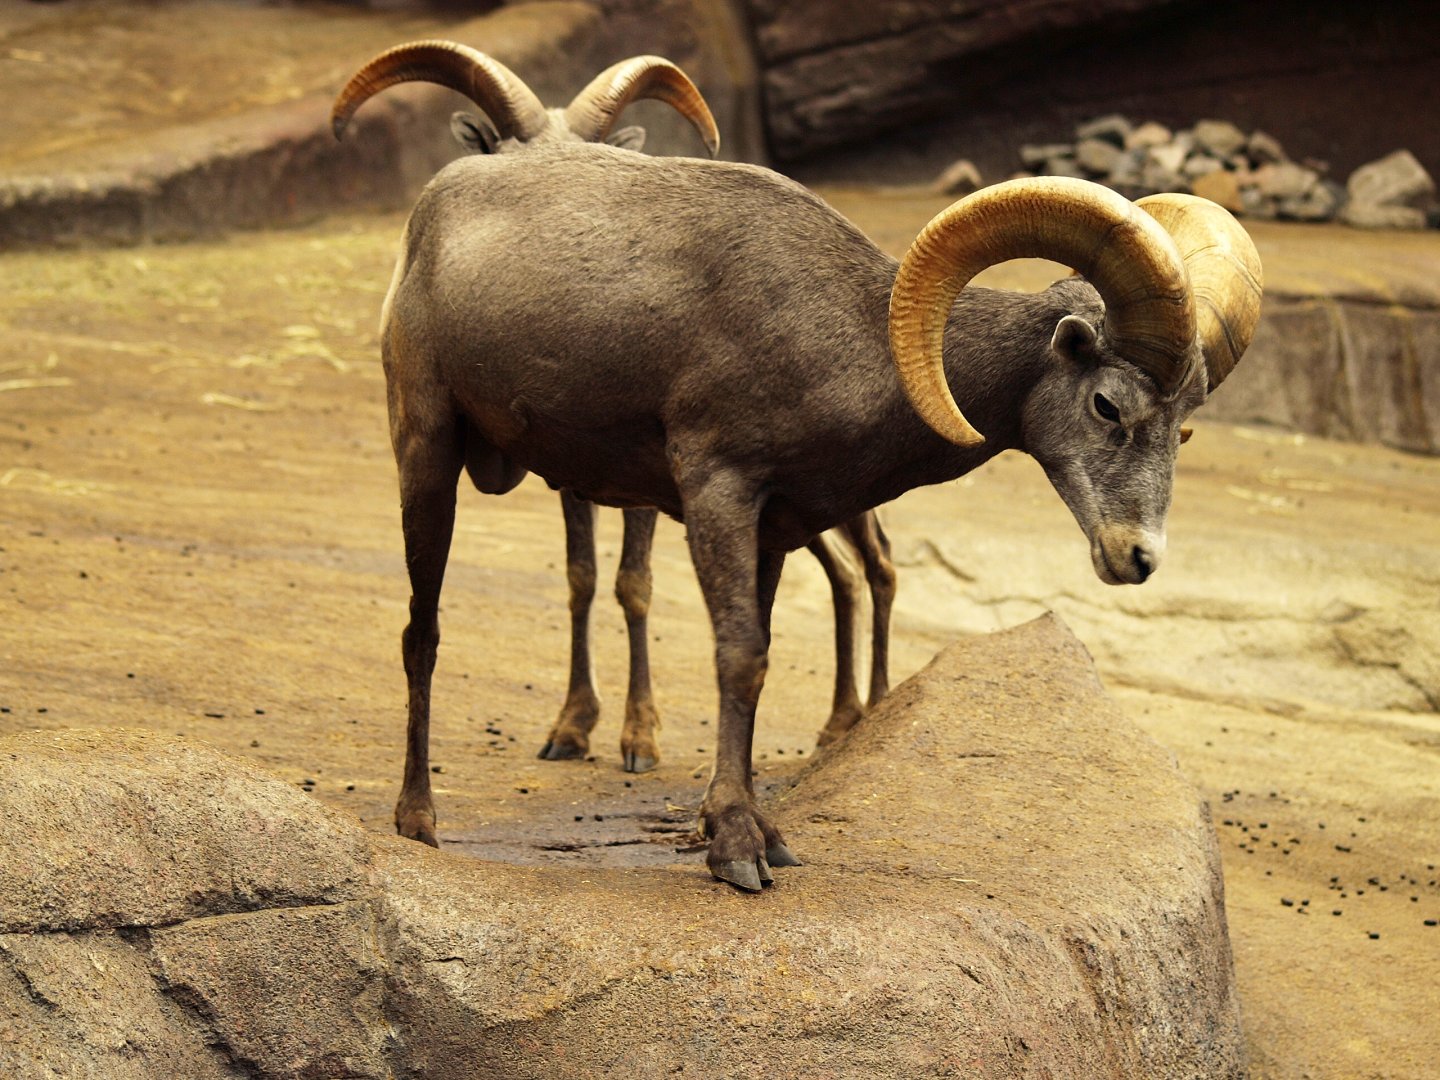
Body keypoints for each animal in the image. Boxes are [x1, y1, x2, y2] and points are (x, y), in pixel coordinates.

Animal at [331, 117, 1261, 890]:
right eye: (1108, 405)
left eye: (1183, 427)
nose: (1136, 557)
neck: (846, 340)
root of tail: (435, 211)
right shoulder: (719, 492)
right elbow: (739, 657)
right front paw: (738, 851)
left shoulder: (775, 531)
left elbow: (764, 657)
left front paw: (756, 833)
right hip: (425, 453)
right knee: (422, 631)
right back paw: (417, 823)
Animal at [334, 42, 897, 774]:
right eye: (507, 153)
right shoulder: (574, 473)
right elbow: (582, 577)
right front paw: (571, 727)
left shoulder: (650, 481)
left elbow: (635, 583)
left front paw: (640, 737)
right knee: (847, 572)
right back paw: (838, 721)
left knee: (878, 563)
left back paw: (870, 709)